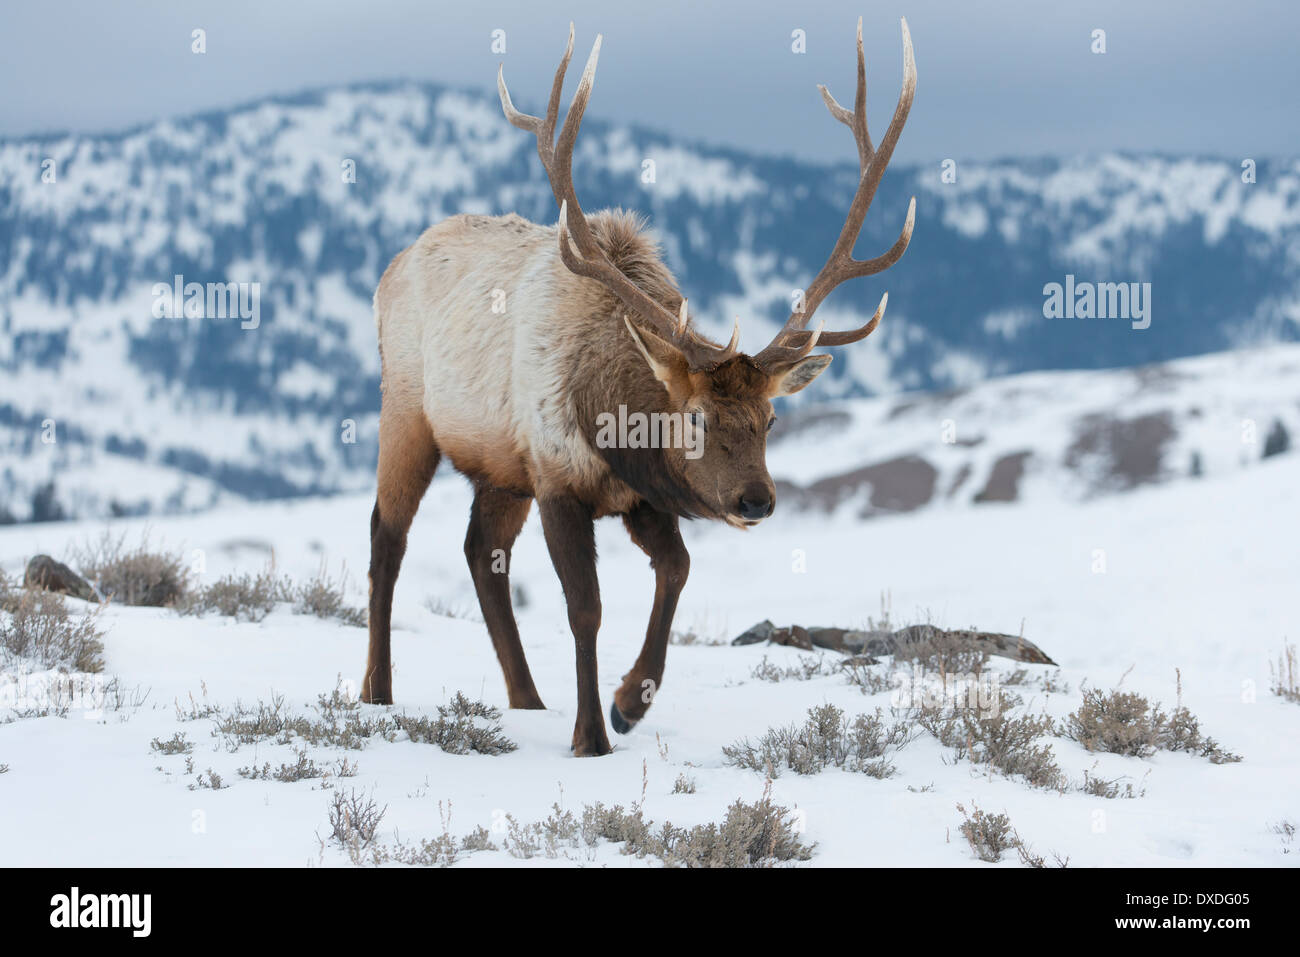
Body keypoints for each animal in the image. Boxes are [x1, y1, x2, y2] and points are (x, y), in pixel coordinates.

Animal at [361, 18, 916, 755]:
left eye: (770, 419)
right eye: (696, 418)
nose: (757, 499)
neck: (611, 420)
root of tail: (392, 264)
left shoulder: (636, 494)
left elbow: (677, 569)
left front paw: (629, 702)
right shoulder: (558, 479)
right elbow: (586, 607)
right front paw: (592, 736)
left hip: (500, 466)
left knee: (481, 552)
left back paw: (526, 698)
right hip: (405, 412)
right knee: (387, 537)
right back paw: (376, 689)